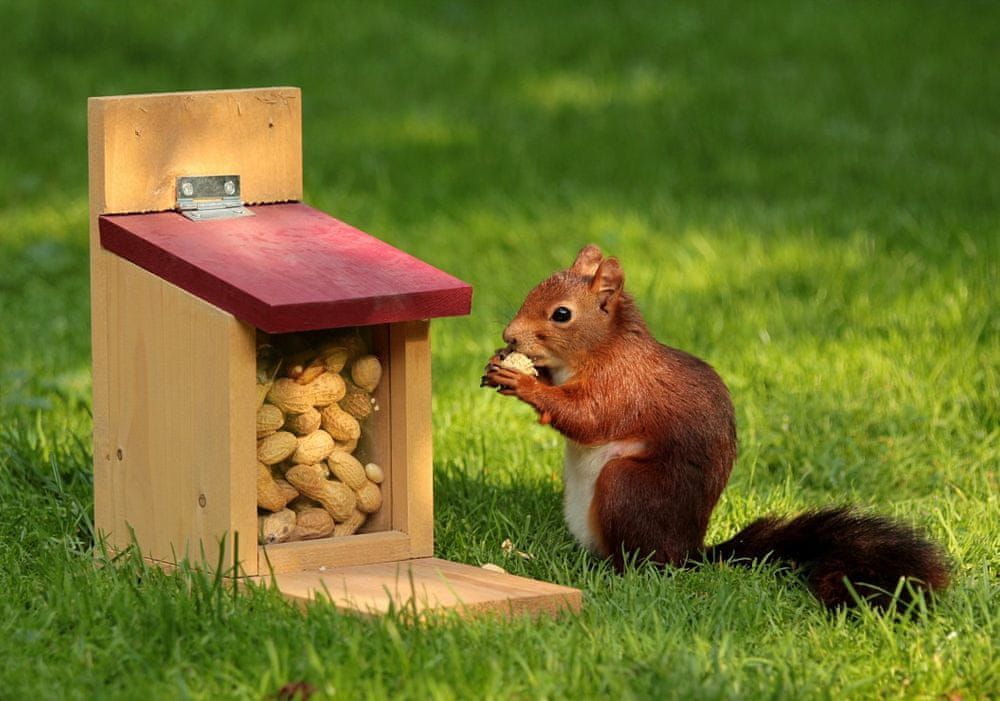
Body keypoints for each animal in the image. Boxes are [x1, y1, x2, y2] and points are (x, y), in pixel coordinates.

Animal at [482, 244, 949, 610]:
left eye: (562, 314)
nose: (509, 335)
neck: (601, 349)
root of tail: (690, 553)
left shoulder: (623, 386)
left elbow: (587, 418)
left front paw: (523, 383)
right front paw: (504, 365)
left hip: (627, 487)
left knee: (644, 563)